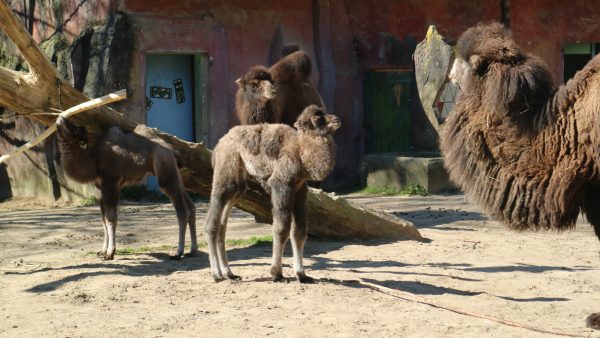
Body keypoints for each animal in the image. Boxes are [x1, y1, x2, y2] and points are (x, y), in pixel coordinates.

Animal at [55, 116, 197, 258]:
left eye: (75, 129)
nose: (61, 118)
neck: (94, 159)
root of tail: (172, 151)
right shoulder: (99, 189)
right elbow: (103, 219)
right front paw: (102, 251)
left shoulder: (111, 183)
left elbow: (110, 218)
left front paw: (110, 253)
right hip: (175, 172)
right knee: (191, 206)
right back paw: (193, 250)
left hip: (165, 169)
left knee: (182, 210)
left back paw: (179, 252)